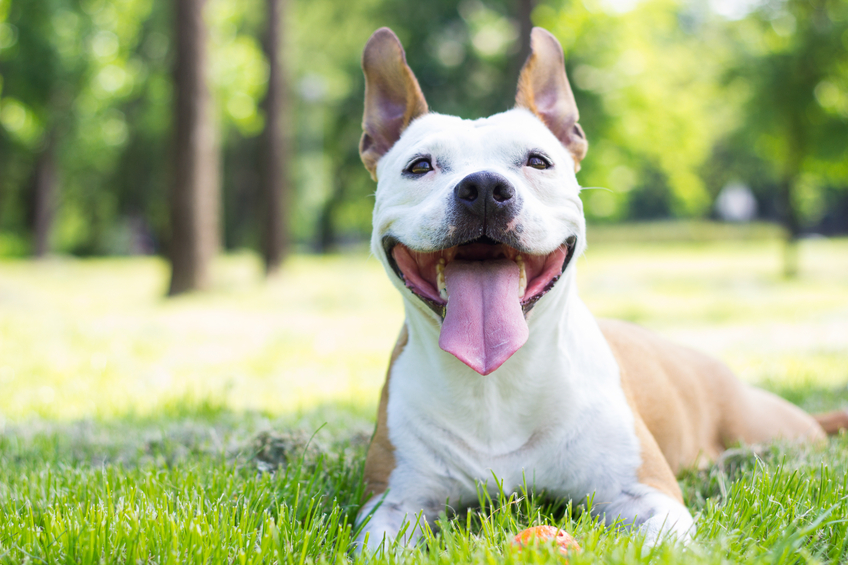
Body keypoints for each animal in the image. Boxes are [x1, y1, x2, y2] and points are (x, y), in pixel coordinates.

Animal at [352, 27, 848, 552]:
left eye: (538, 161)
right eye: (419, 166)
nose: (484, 188)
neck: (497, 382)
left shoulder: (648, 493)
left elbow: (660, 542)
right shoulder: (392, 505)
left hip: (773, 431)